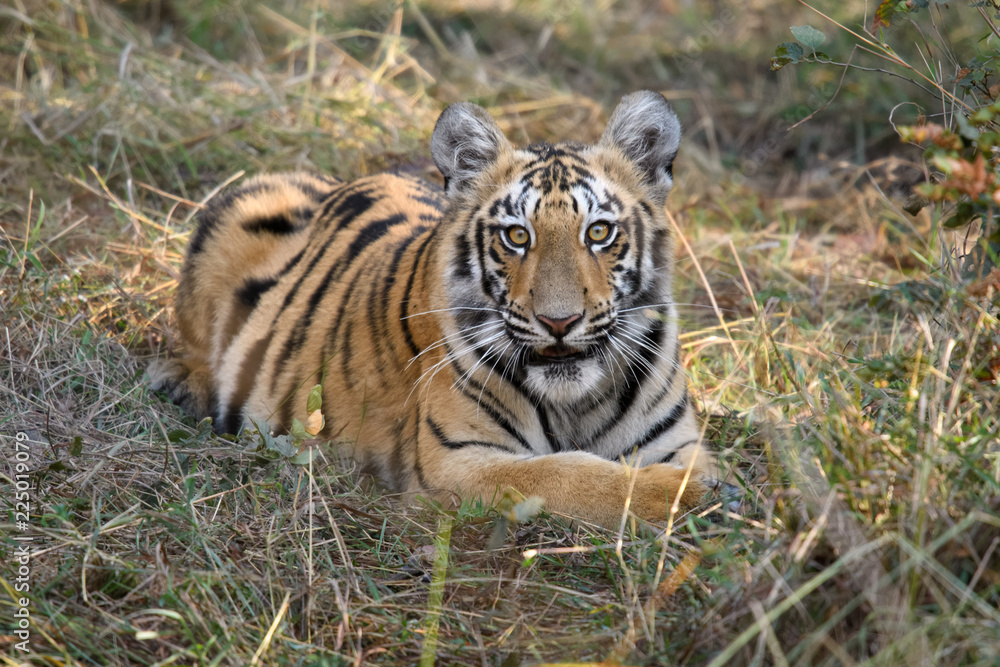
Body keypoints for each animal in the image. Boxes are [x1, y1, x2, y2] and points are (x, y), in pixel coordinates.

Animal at [149, 90, 725, 527]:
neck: (576, 403)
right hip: (245, 204)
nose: (558, 322)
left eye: (599, 232)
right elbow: (566, 474)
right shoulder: (458, 461)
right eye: (517, 236)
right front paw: (690, 496)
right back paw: (182, 382)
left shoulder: (677, 442)